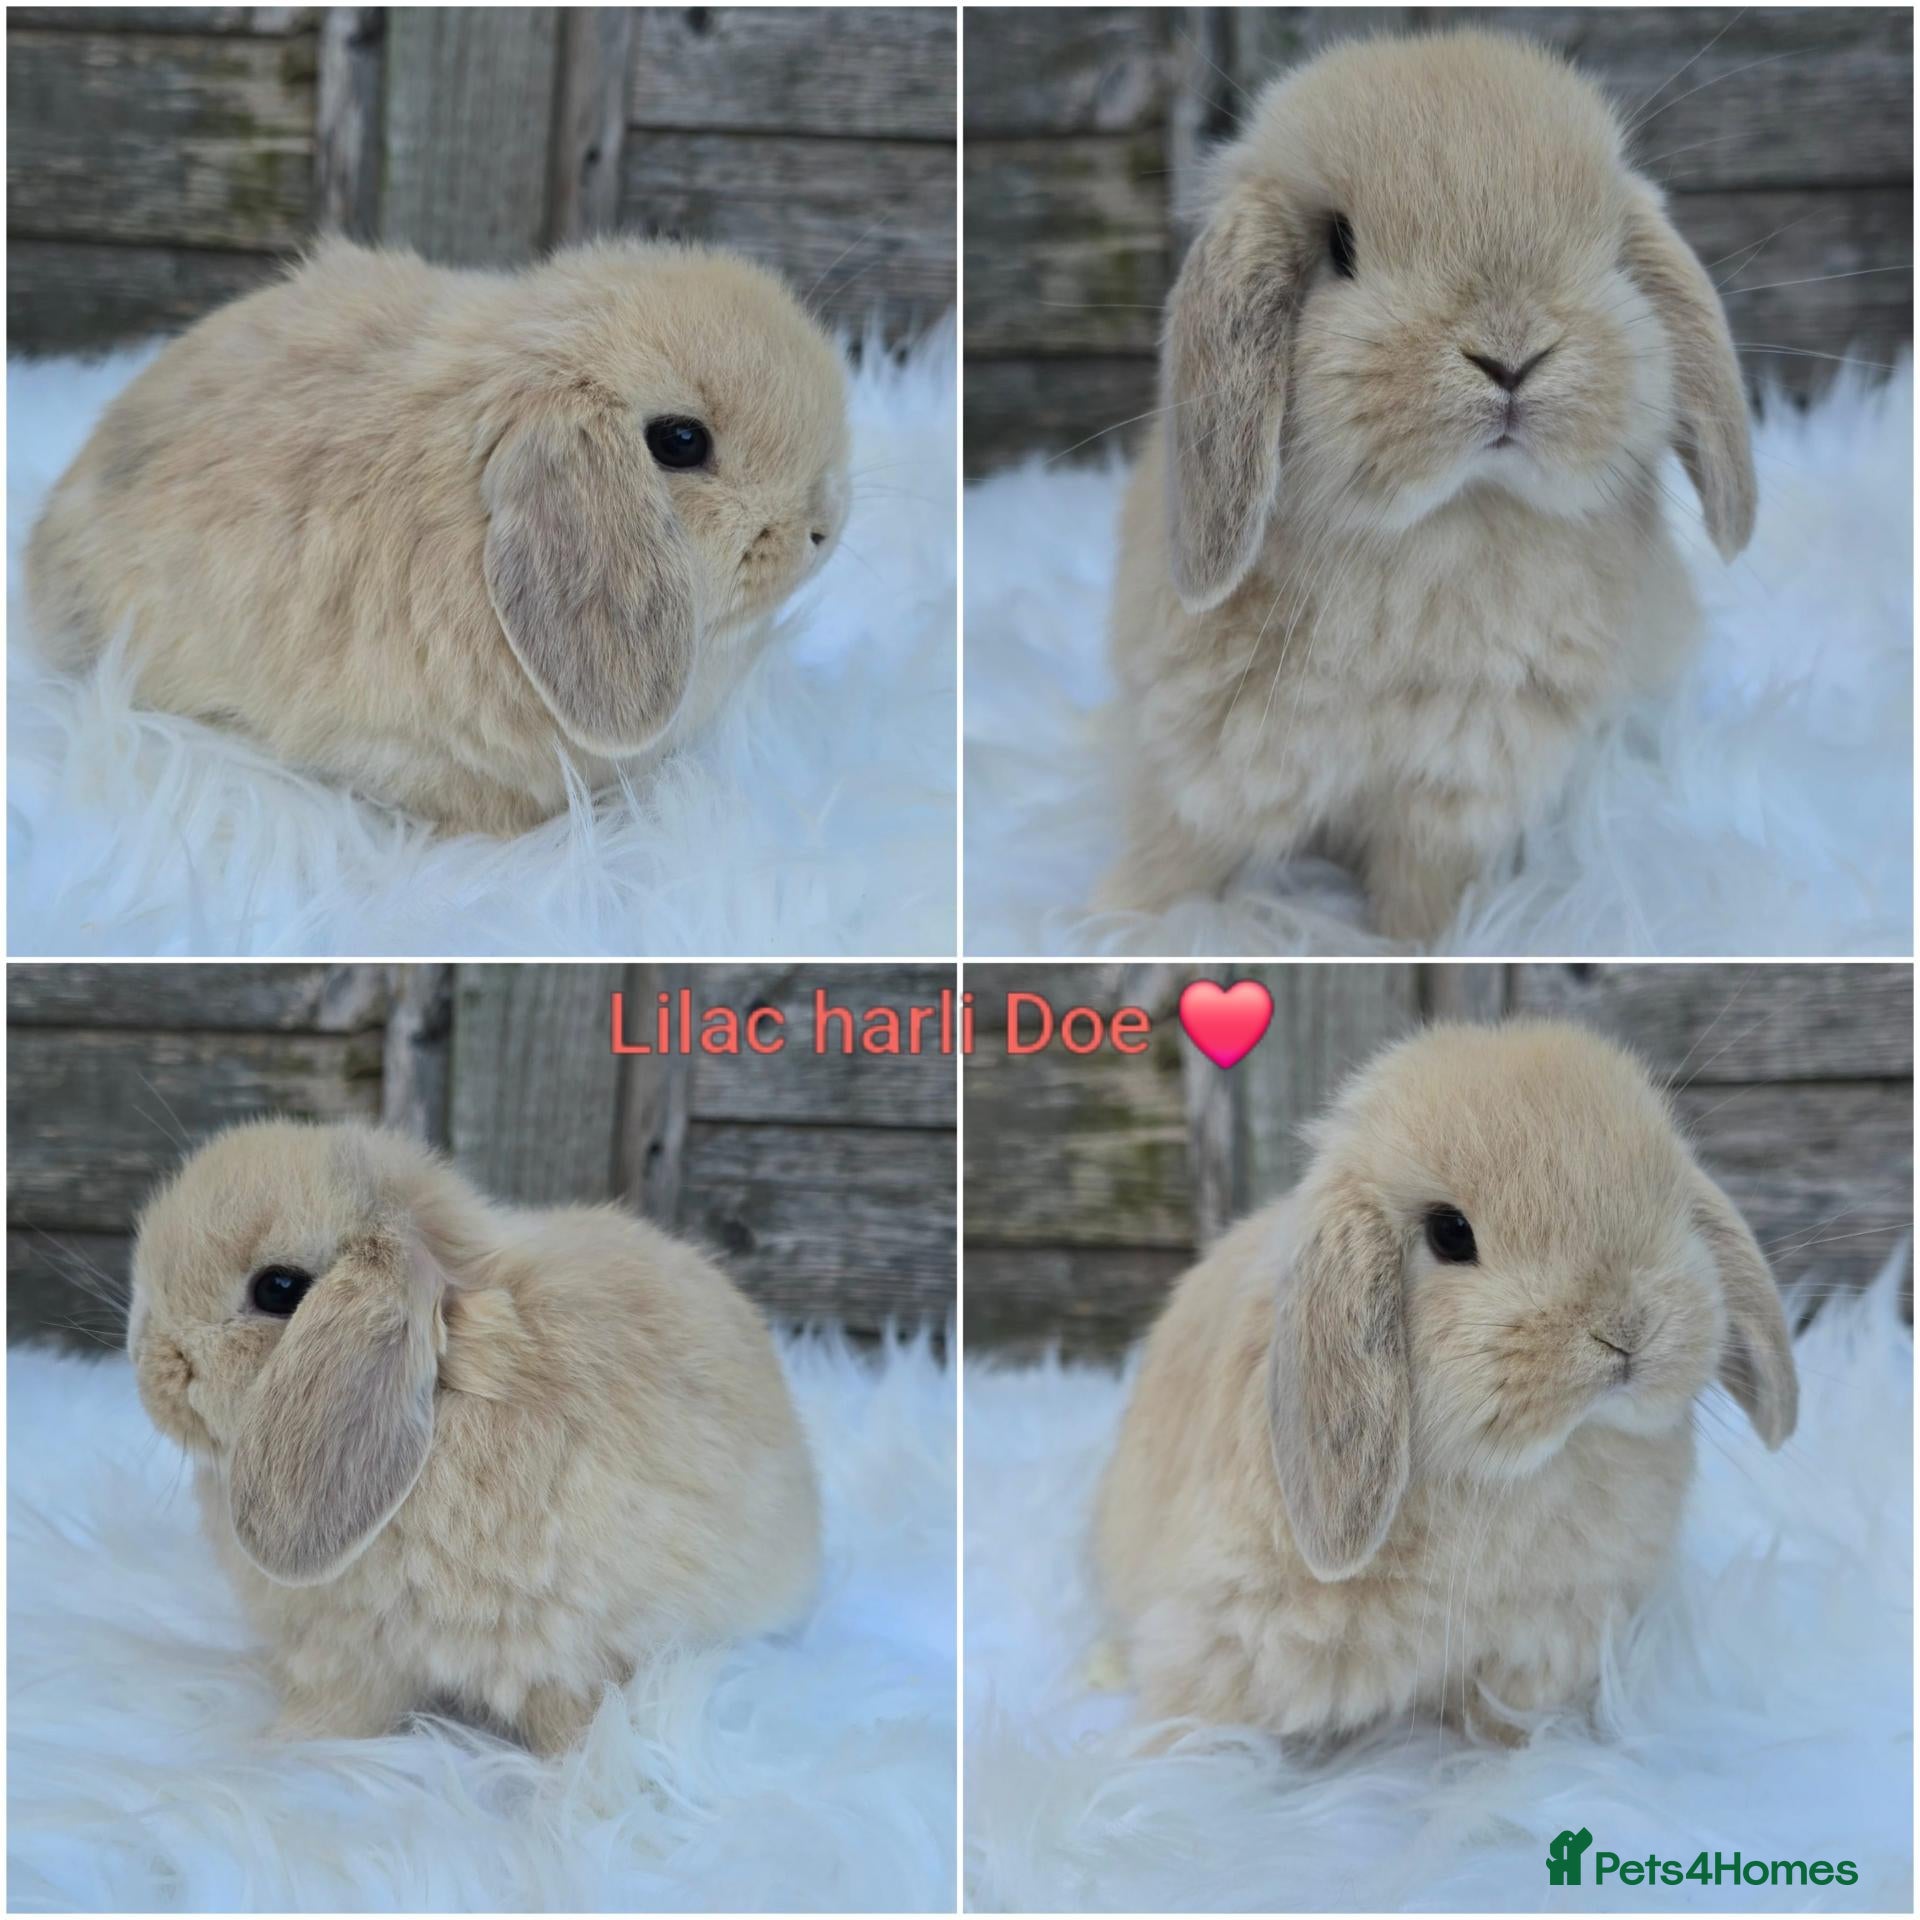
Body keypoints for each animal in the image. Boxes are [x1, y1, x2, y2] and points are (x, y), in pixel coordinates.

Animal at [1099, 31, 1756, 944]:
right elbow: (1174, 855)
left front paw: (1429, 946)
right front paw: (1116, 928)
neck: (1437, 535)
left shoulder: (1454, 792)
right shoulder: (1208, 761)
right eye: (1340, 247)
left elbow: (1423, 897)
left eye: (1611, 253)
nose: (1510, 355)